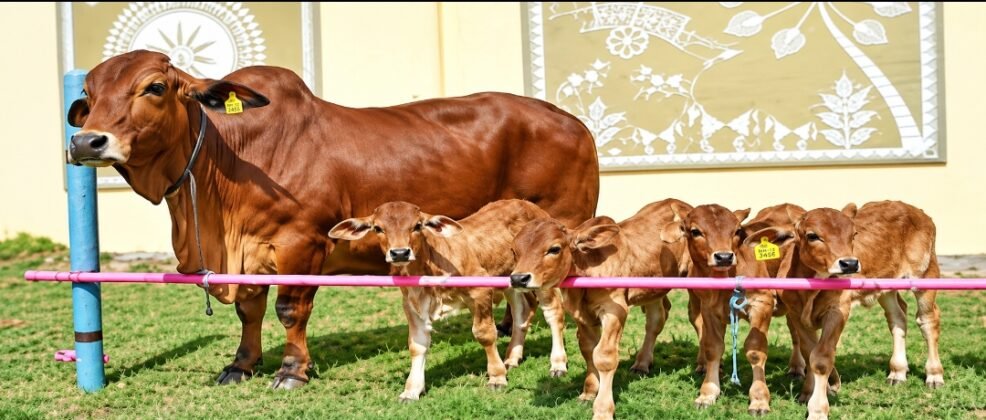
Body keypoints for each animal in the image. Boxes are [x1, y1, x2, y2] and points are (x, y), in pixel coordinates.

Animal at [327, 199, 565, 401]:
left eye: (417, 226)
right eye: (378, 228)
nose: (400, 253)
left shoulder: (480, 291)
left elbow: (485, 334)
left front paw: (497, 377)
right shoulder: (411, 304)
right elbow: (417, 345)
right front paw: (411, 390)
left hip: (544, 281)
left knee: (554, 313)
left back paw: (558, 364)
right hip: (512, 280)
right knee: (521, 312)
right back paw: (513, 357)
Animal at [509, 198, 693, 420]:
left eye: (554, 249)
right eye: (514, 251)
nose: (518, 278)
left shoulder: (615, 310)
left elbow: (604, 356)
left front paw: (603, 409)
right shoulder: (580, 314)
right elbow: (588, 350)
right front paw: (589, 392)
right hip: (653, 289)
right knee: (656, 318)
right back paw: (642, 363)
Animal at [770, 201, 941, 420]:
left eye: (854, 234)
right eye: (812, 235)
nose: (850, 263)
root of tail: (915, 210)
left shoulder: (838, 310)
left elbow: (821, 357)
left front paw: (818, 408)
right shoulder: (796, 314)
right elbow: (810, 352)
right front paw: (810, 391)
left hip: (926, 274)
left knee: (928, 320)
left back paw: (934, 375)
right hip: (886, 286)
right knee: (898, 317)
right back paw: (898, 372)